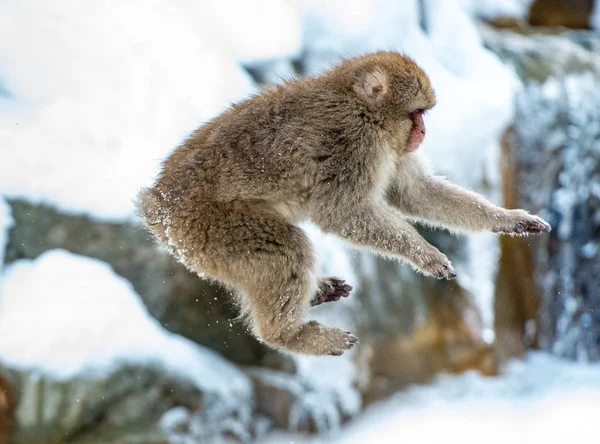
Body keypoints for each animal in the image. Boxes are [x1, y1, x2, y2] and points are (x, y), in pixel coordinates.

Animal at [138, 52, 552, 358]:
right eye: (416, 114)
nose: (423, 132)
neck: (360, 105)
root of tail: (158, 205)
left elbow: (414, 192)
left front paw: (510, 219)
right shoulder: (354, 142)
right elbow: (341, 213)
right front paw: (425, 254)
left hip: (199, 244)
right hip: (208, 226)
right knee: (285, 248)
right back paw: (288, 337)